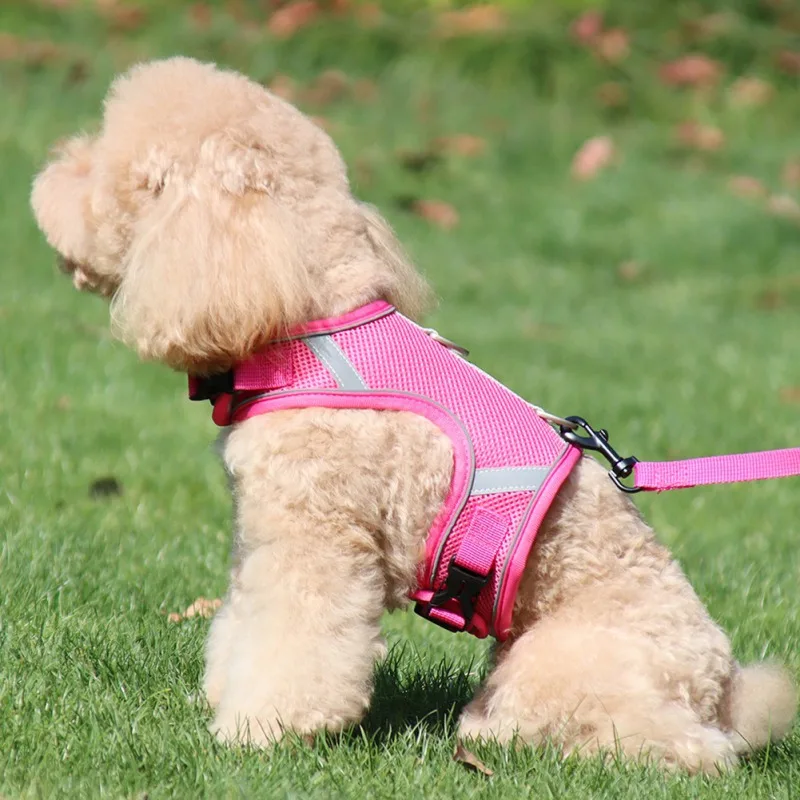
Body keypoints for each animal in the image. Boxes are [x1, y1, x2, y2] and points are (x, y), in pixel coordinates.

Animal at [31, 57, 797, 773]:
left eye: (105, 163)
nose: (42, 179)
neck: (314, 326)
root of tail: (722, 691)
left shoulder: (320, 541)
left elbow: (295, 646)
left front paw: (259, 732)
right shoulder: (262, 537)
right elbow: (241, 626)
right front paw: (225, 697)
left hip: (561, 662)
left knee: (673, 746)